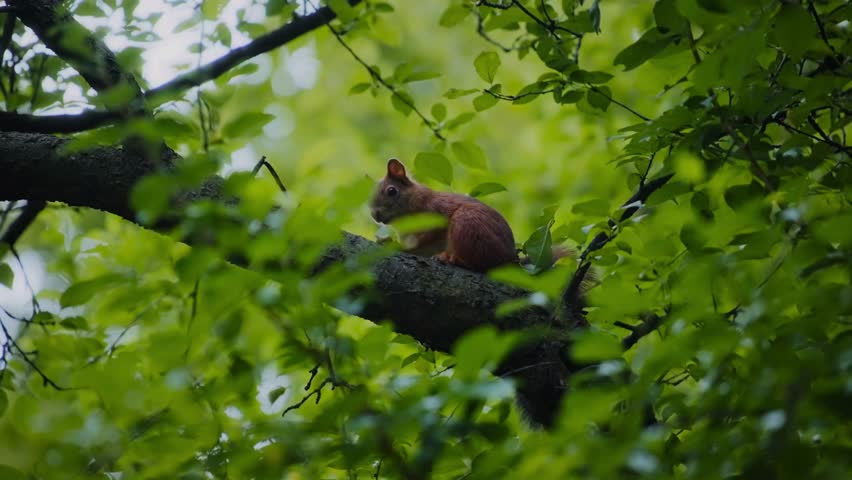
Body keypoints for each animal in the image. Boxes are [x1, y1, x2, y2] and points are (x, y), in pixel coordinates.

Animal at [370, 158, 569, 273]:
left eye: (392, 191)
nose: (374, 215)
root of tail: (509, 259)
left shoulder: (435, 214)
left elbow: (423, 241)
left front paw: (397, 246)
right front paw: (387, 241)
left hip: (466, 225)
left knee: (481, 264)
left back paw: (453, 259)